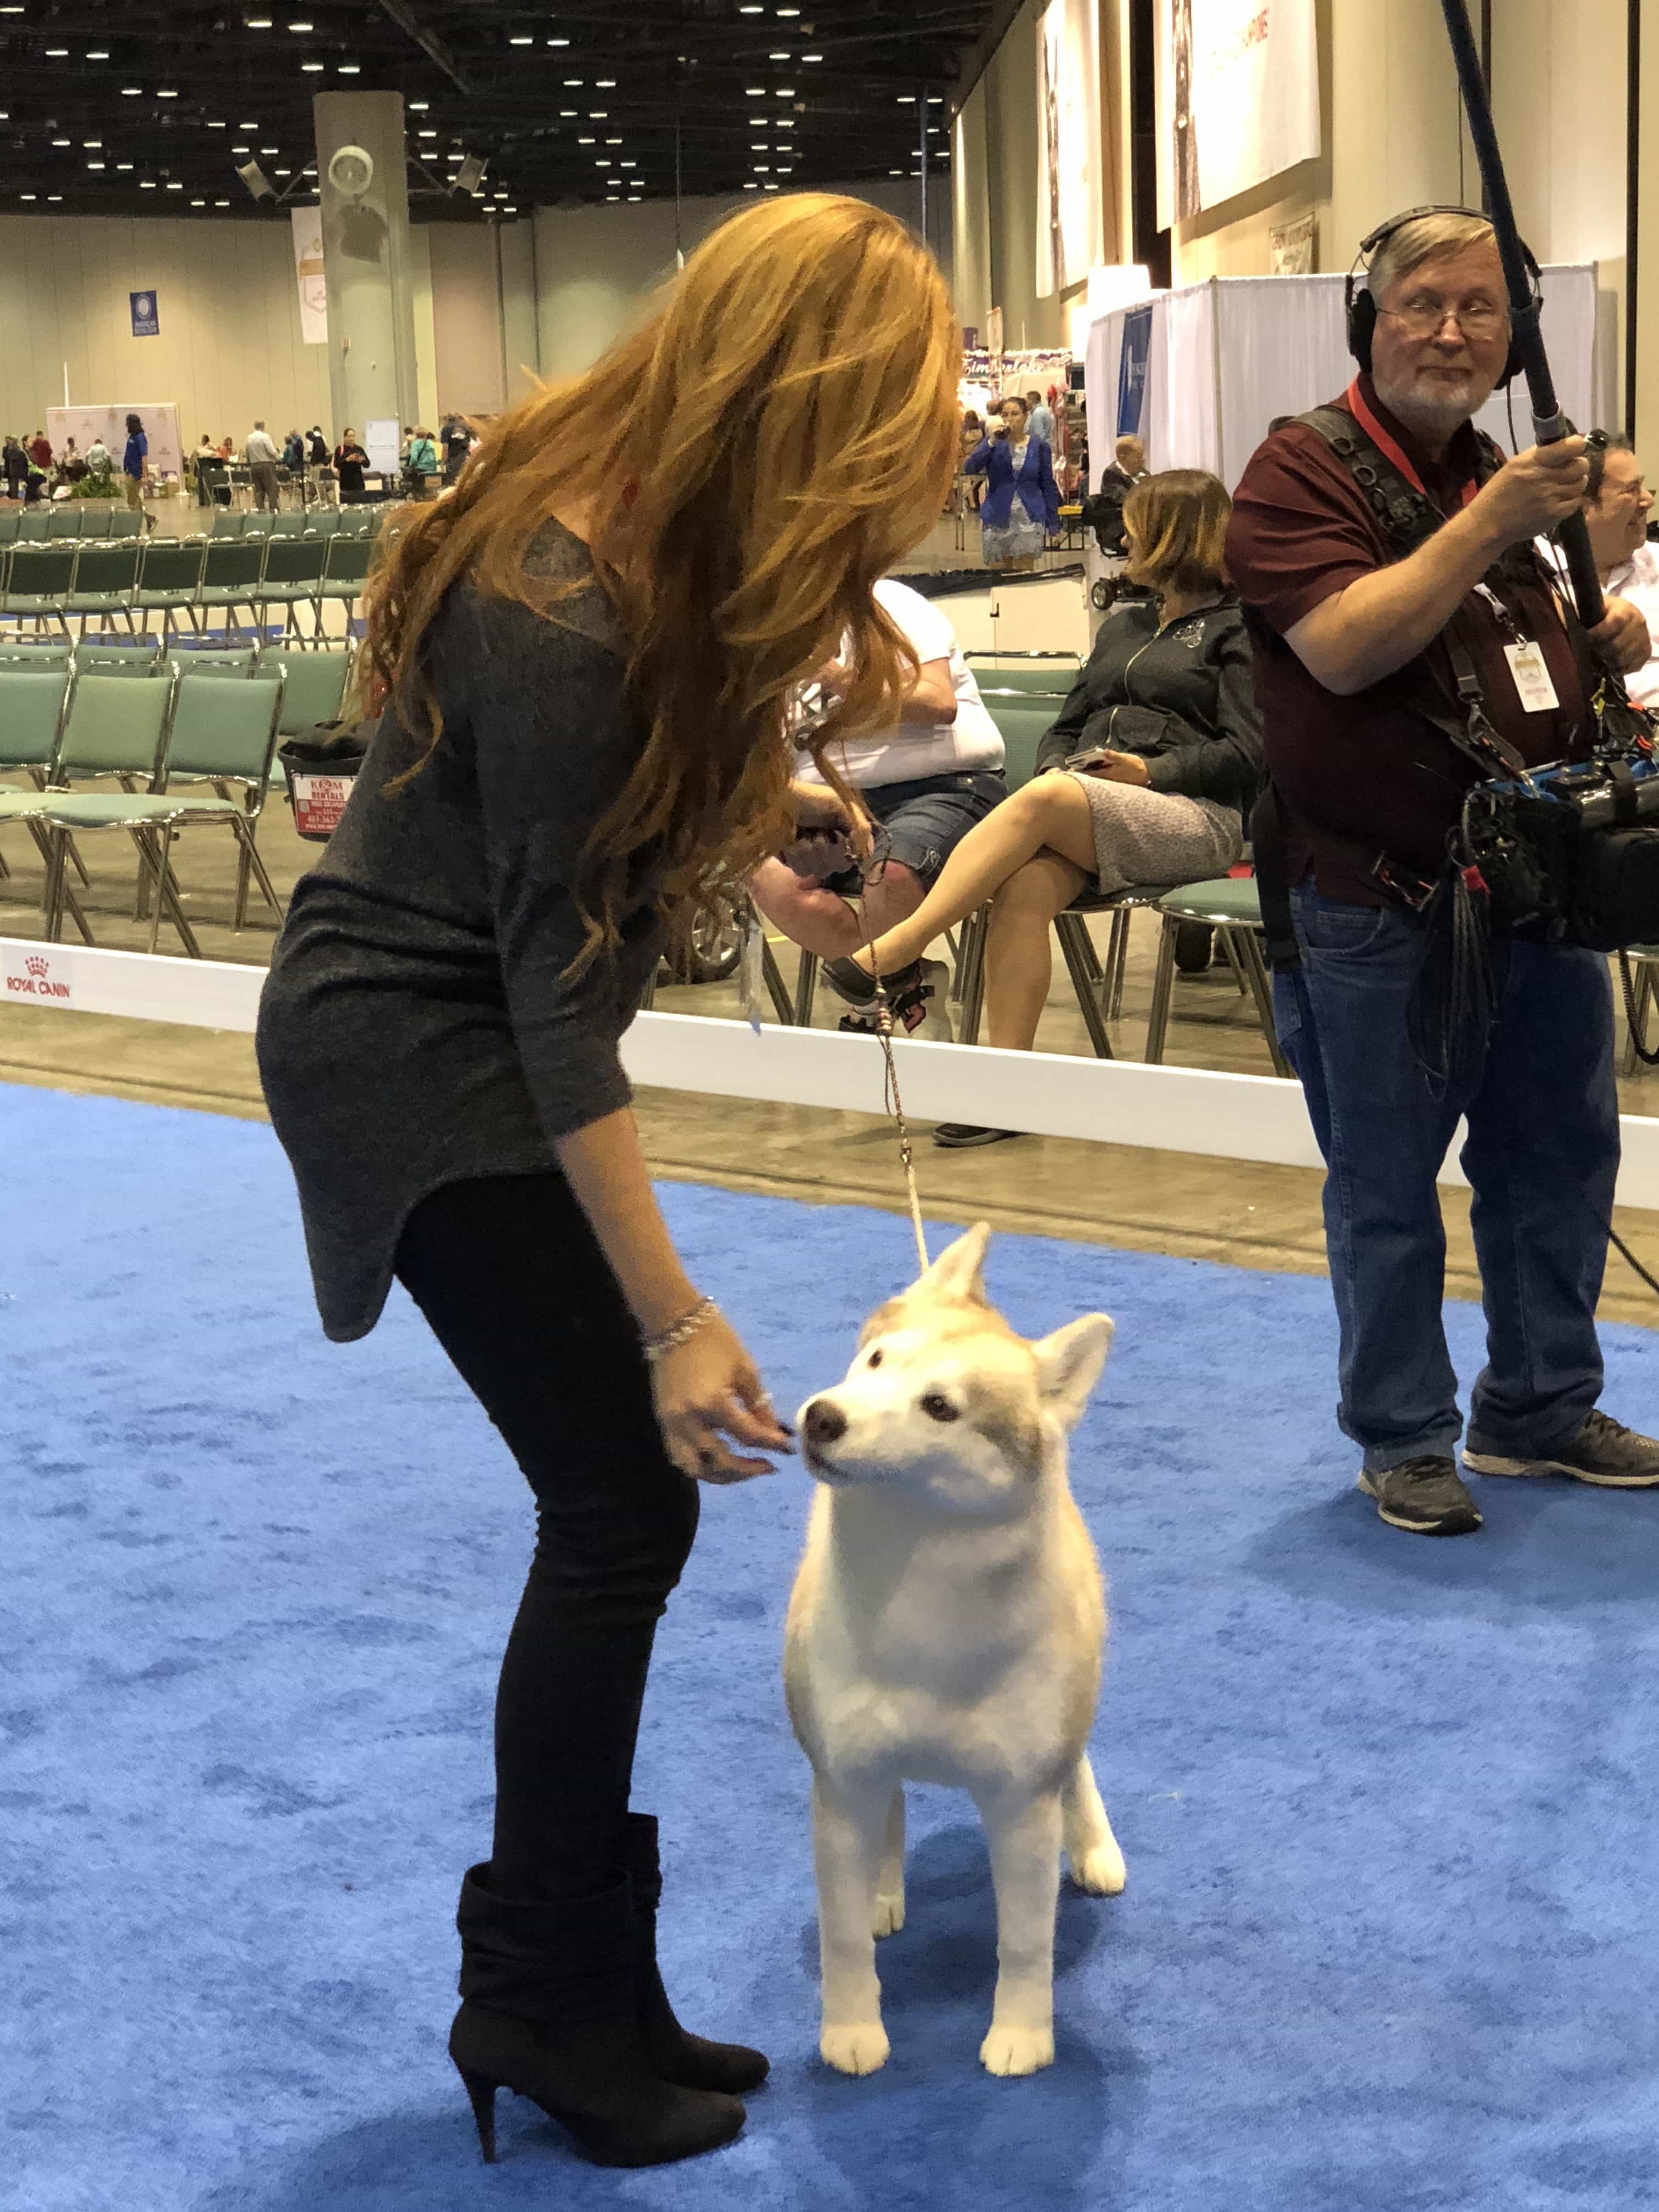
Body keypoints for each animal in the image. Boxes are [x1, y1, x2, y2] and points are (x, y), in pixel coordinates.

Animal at [783, 1229, 1124, 2070]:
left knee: (1080, 1767)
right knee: (893, 1815)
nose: (823, 1418)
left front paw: (1022, 2038)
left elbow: (1026, 1943)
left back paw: (1097, 1848)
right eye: (876, 1360)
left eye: (940, 1408)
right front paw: (852, 2032)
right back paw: (883, 1890)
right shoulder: (842, 1782)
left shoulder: (1022, 1802)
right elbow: (842, 1937)